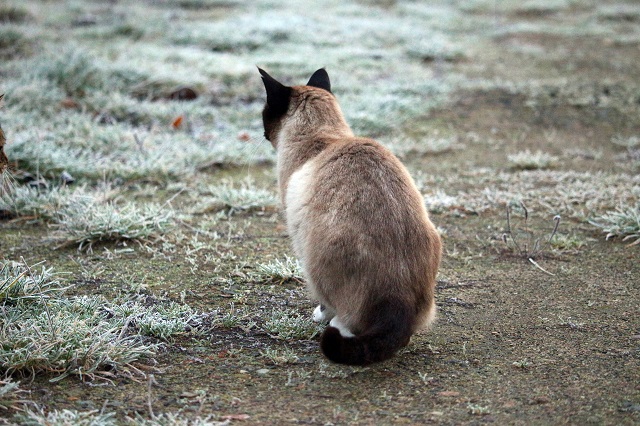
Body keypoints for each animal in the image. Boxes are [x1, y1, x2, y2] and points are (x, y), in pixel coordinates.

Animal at [258, 68, 440, 364]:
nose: (262, 131)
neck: (324, 138)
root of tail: (397, 300)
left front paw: (319, 315)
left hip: (313, 254)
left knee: (342, 317)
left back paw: (332, 323)